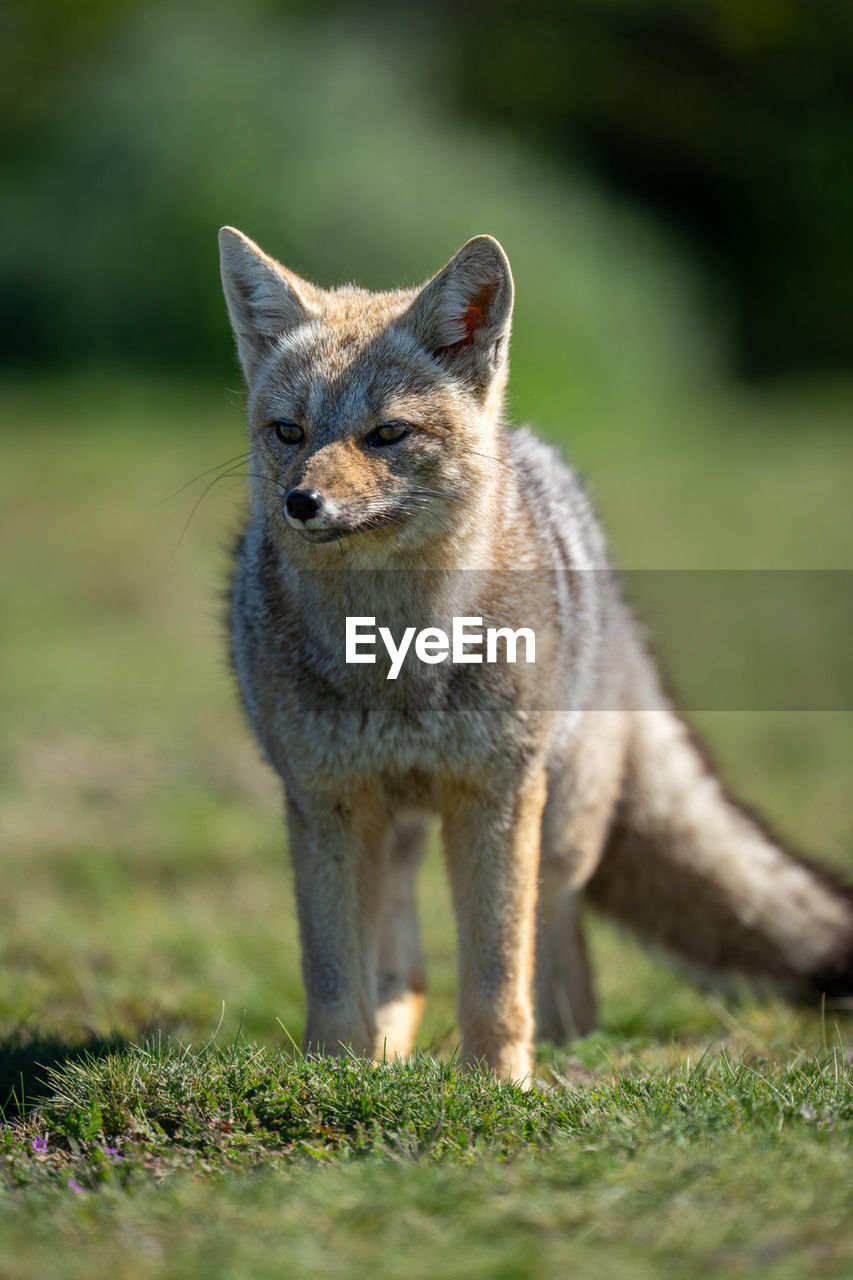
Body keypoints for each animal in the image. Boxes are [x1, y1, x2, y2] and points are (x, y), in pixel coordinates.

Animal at [217, 225, 850, 1085]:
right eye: (289, 431)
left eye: (386, 434)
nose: (300, 502)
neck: (395, 658)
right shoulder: (326, 801)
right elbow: (334, 976)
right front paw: (338, 1076)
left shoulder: (496, 794)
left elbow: (495, 974)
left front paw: (494, 1084)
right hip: (398, 833)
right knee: (405, 969)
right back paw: (389, 1055)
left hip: (560, 832)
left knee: (558, 961)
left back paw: (559, 1051)